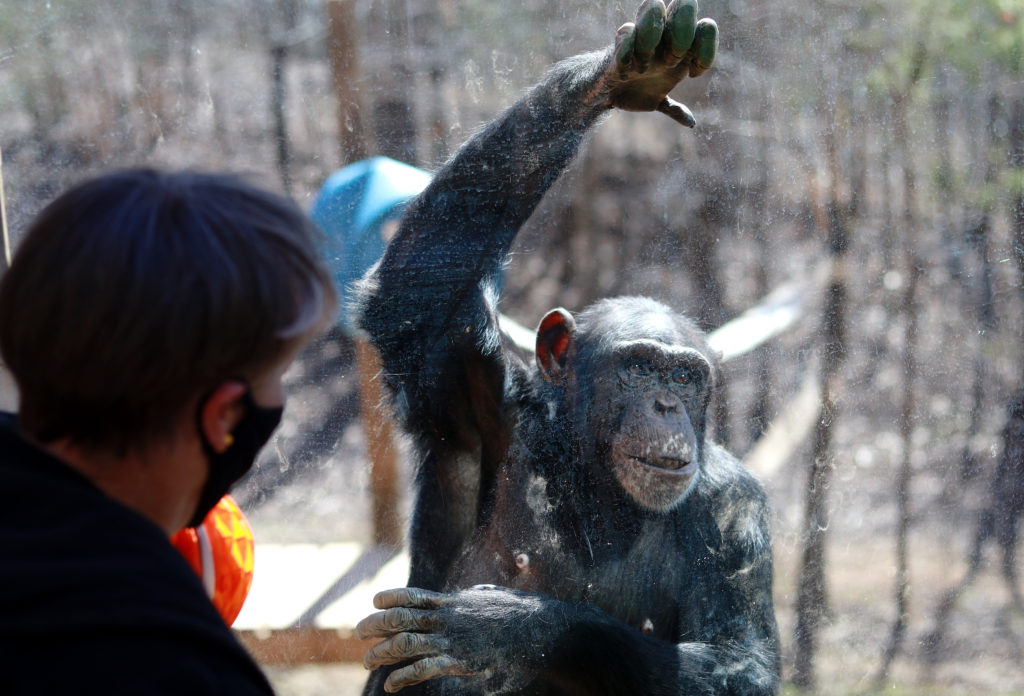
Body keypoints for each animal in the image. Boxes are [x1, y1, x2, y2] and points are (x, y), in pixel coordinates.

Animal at [356, 2, 778, 691]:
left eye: (684, 377)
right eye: (638, 368)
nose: (666, 405)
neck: (594, 474)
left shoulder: (734, 507)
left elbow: (742, 660)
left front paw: (507, 629)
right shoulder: (473, 398)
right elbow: (417, 298)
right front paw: (617, 73)